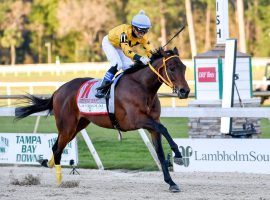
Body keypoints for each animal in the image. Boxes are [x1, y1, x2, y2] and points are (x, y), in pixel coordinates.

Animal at [15, 47, 190, 192]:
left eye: (184, 67)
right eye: (172, 68)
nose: (185, 91)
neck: (142, 87)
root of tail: (58, 90)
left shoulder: (152, 124)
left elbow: (160, 151)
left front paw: (171, 182)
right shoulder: (135, 121)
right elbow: (164, 129)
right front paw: (178, 154)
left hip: (77, 126)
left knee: (55, 147)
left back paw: (47, 164)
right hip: (67, 126)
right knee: (58, 149)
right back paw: (60, 181)